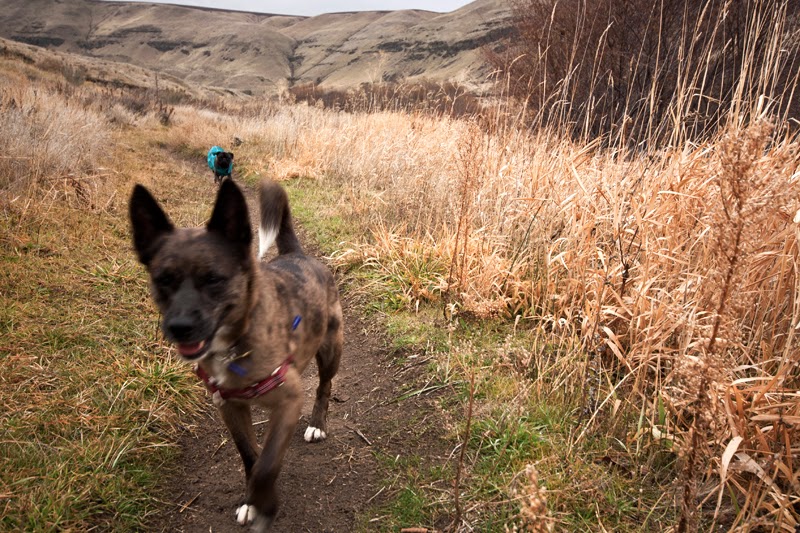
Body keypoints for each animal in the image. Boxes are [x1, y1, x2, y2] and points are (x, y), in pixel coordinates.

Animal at [129, 178, 343, 530]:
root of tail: (296, 254)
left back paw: (317, 424)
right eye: (163, 280)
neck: (235, 341)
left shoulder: (289, 400)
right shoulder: (229, 407)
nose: (180, 327)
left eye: (214, 279)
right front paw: (250, 502)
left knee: (324, 387)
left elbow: (267, 465)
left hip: (330, 350)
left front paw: (265, 504)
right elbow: (250, 457)